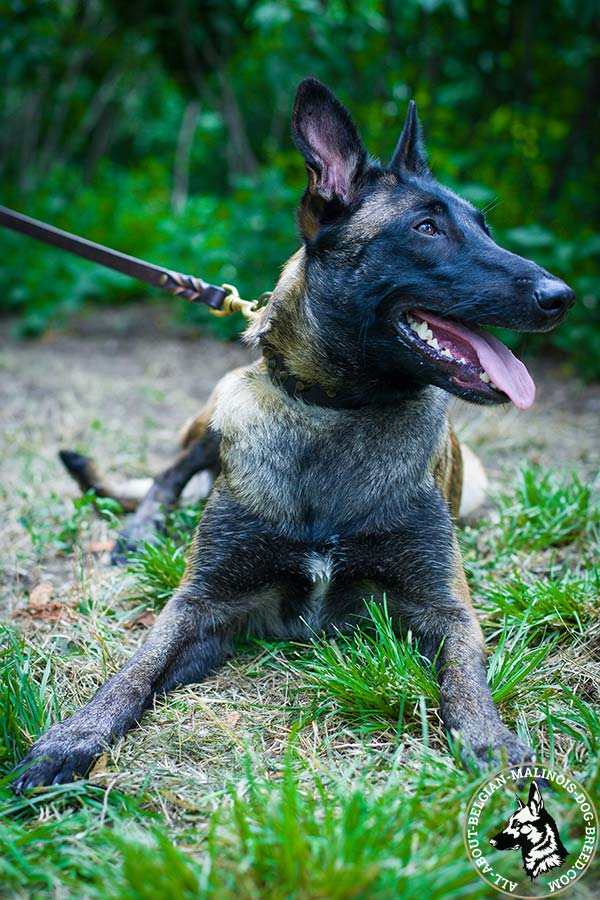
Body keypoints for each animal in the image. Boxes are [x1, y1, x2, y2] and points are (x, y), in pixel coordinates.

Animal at [11, 79, 576, 796]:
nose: (562, 296)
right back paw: (140, 528)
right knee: (169, 474)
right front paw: (73, 736)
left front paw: (492, 744)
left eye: (485, 227)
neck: (337, 414)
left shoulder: (445, 607)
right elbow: (137, 665)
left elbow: (466, 677)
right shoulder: (202, 602)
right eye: (426, 228)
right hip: (218, 408)